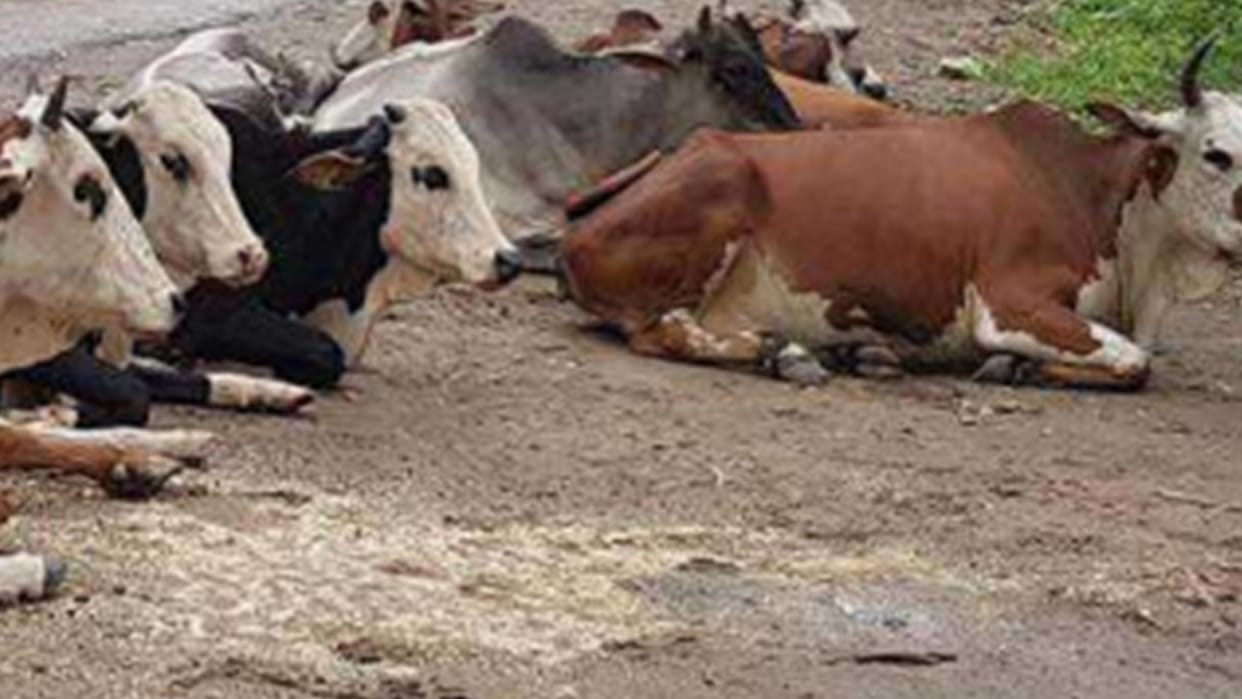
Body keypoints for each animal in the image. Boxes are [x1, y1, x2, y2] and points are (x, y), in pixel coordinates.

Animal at [561, 43, 1242, 391]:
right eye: (1217, 154)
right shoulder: (1010, 302)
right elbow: (1135, 361)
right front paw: (1013, 363)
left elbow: (1135, 360)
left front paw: (1017, 365)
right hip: (712, 213)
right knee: (663, 330)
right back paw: (785, 352)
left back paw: (851, 351)